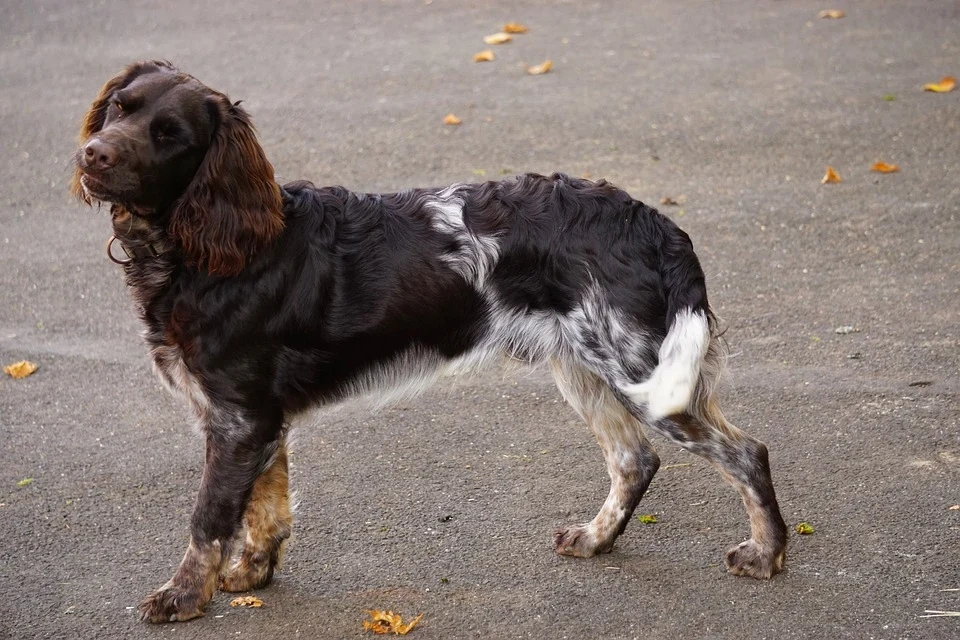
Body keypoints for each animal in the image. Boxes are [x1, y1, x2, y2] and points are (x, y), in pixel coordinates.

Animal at [69, 62, 788, 624]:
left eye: (171, 136)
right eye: (120, 107)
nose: (94, 154)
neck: (212, 248)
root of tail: (655, 222)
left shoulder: (238, 417)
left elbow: (209, 517)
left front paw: (183, 597)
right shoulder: (257, 418)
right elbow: (266, 506)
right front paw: (249, 575)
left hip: (640, 372)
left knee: (745, 453)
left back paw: (767, 553)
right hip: (585, 367)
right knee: (634, 460)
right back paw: (595, 538)